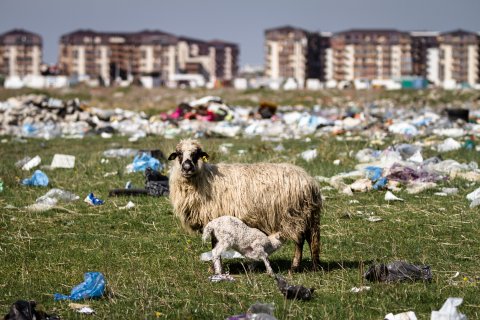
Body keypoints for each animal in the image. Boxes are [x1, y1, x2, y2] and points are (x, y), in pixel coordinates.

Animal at [169, 139, 322, 272]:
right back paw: (314, 266)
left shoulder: (215, 219)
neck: (205, 179)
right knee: (311, 239)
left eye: (196, 154)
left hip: (293, 216)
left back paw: (295, 267)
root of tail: (310, 181)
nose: (187, 168)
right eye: (179, 154)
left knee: (300, 240)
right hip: (306, 215)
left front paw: (215, 268)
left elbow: (214, 245)